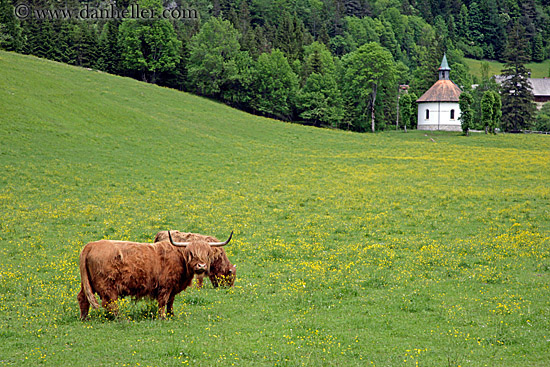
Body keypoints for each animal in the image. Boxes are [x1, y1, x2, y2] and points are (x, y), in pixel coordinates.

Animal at [78, 231, 233, 320]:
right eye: (191, 253)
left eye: (207, 254)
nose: (201, 266)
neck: (180, 258)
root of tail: (90, 245)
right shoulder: (165, 286)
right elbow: (163, 301)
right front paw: (163, 317)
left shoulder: (173, 287)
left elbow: (171, 301)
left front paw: (171, 315)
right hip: (107, 286)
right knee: (110, 303)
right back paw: (120, 318)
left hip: (87, 284)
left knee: (83, 298)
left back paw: (84, 318)